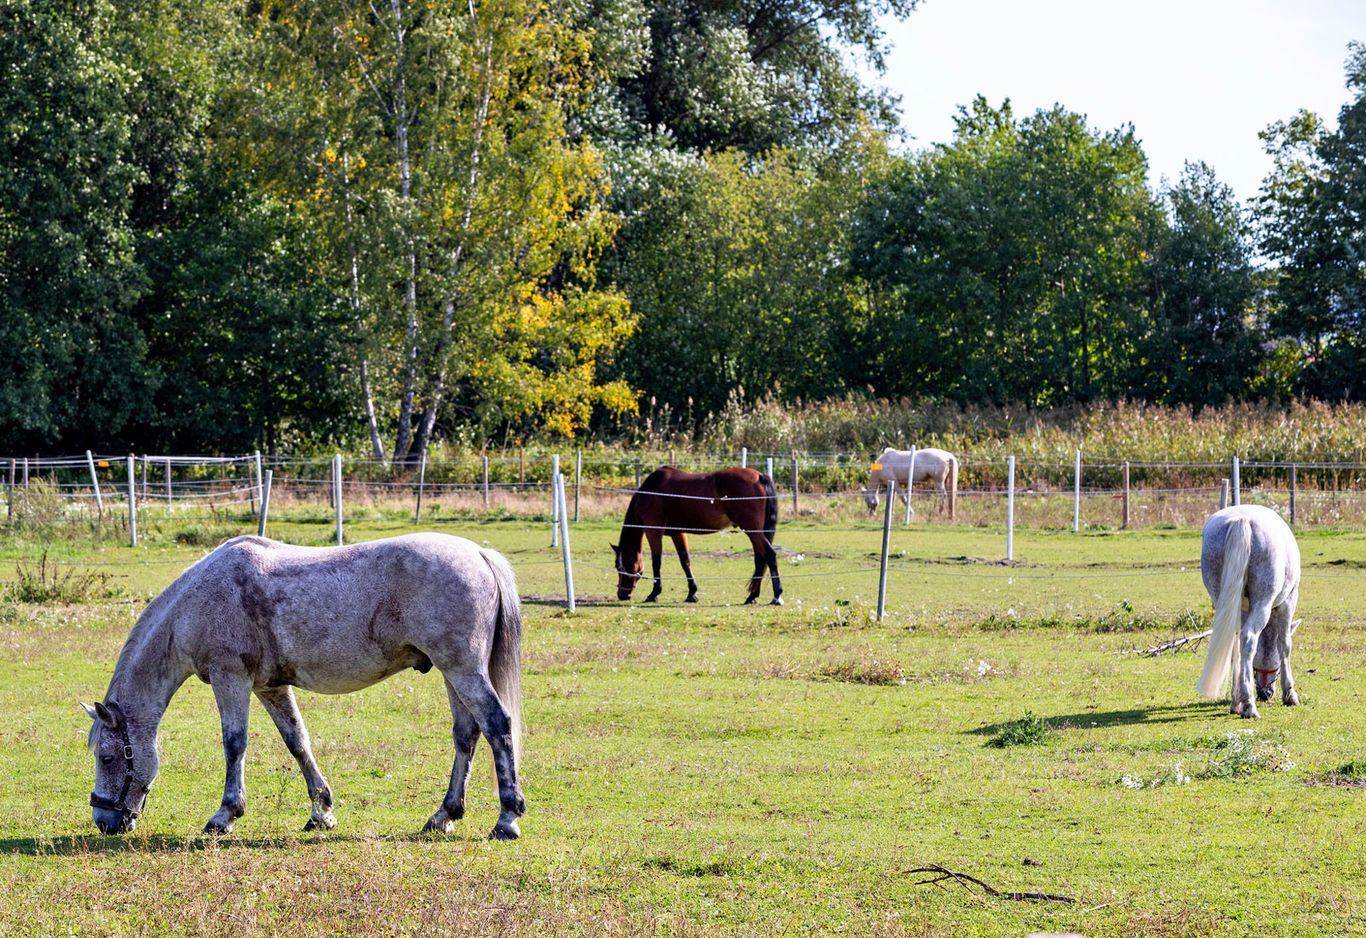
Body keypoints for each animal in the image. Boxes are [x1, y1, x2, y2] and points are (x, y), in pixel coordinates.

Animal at [82, 535, 524, 846]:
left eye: (107, 757)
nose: (105, 823)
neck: (198, 602)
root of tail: (480, 554)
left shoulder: (231, 679)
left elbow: (234, 744)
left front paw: (224, 816)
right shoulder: (270, 687)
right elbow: (297, 742)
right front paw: (321, 812)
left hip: (462, 669)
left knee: (497, 725)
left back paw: (507, 819)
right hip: (453, 673)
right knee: (466, 735)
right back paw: (444, 815)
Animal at [609, 466, 781, 606]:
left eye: (619, 566)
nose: (622, 594)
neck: (651, 490)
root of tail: (759, 476)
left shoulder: (654, 531)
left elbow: (656, 562)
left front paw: (654, 593)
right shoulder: (678, 533)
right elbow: (685, 561)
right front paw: (692, 593)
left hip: (752, 530)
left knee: (769, 555)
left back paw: (776, 596)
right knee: (760, 560)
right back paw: (752, 596)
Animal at [1196, 505, 1300, 720]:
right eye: (1277, 670)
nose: (1265, 694)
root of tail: (1241, 519)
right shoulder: (1288, 604)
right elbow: (1285, 645)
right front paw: (1290, 695)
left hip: (1222, 601)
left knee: (1234, 642)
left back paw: (1238, 702)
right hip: (1263, 602)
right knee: (1249, 639)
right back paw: (1250, 705)